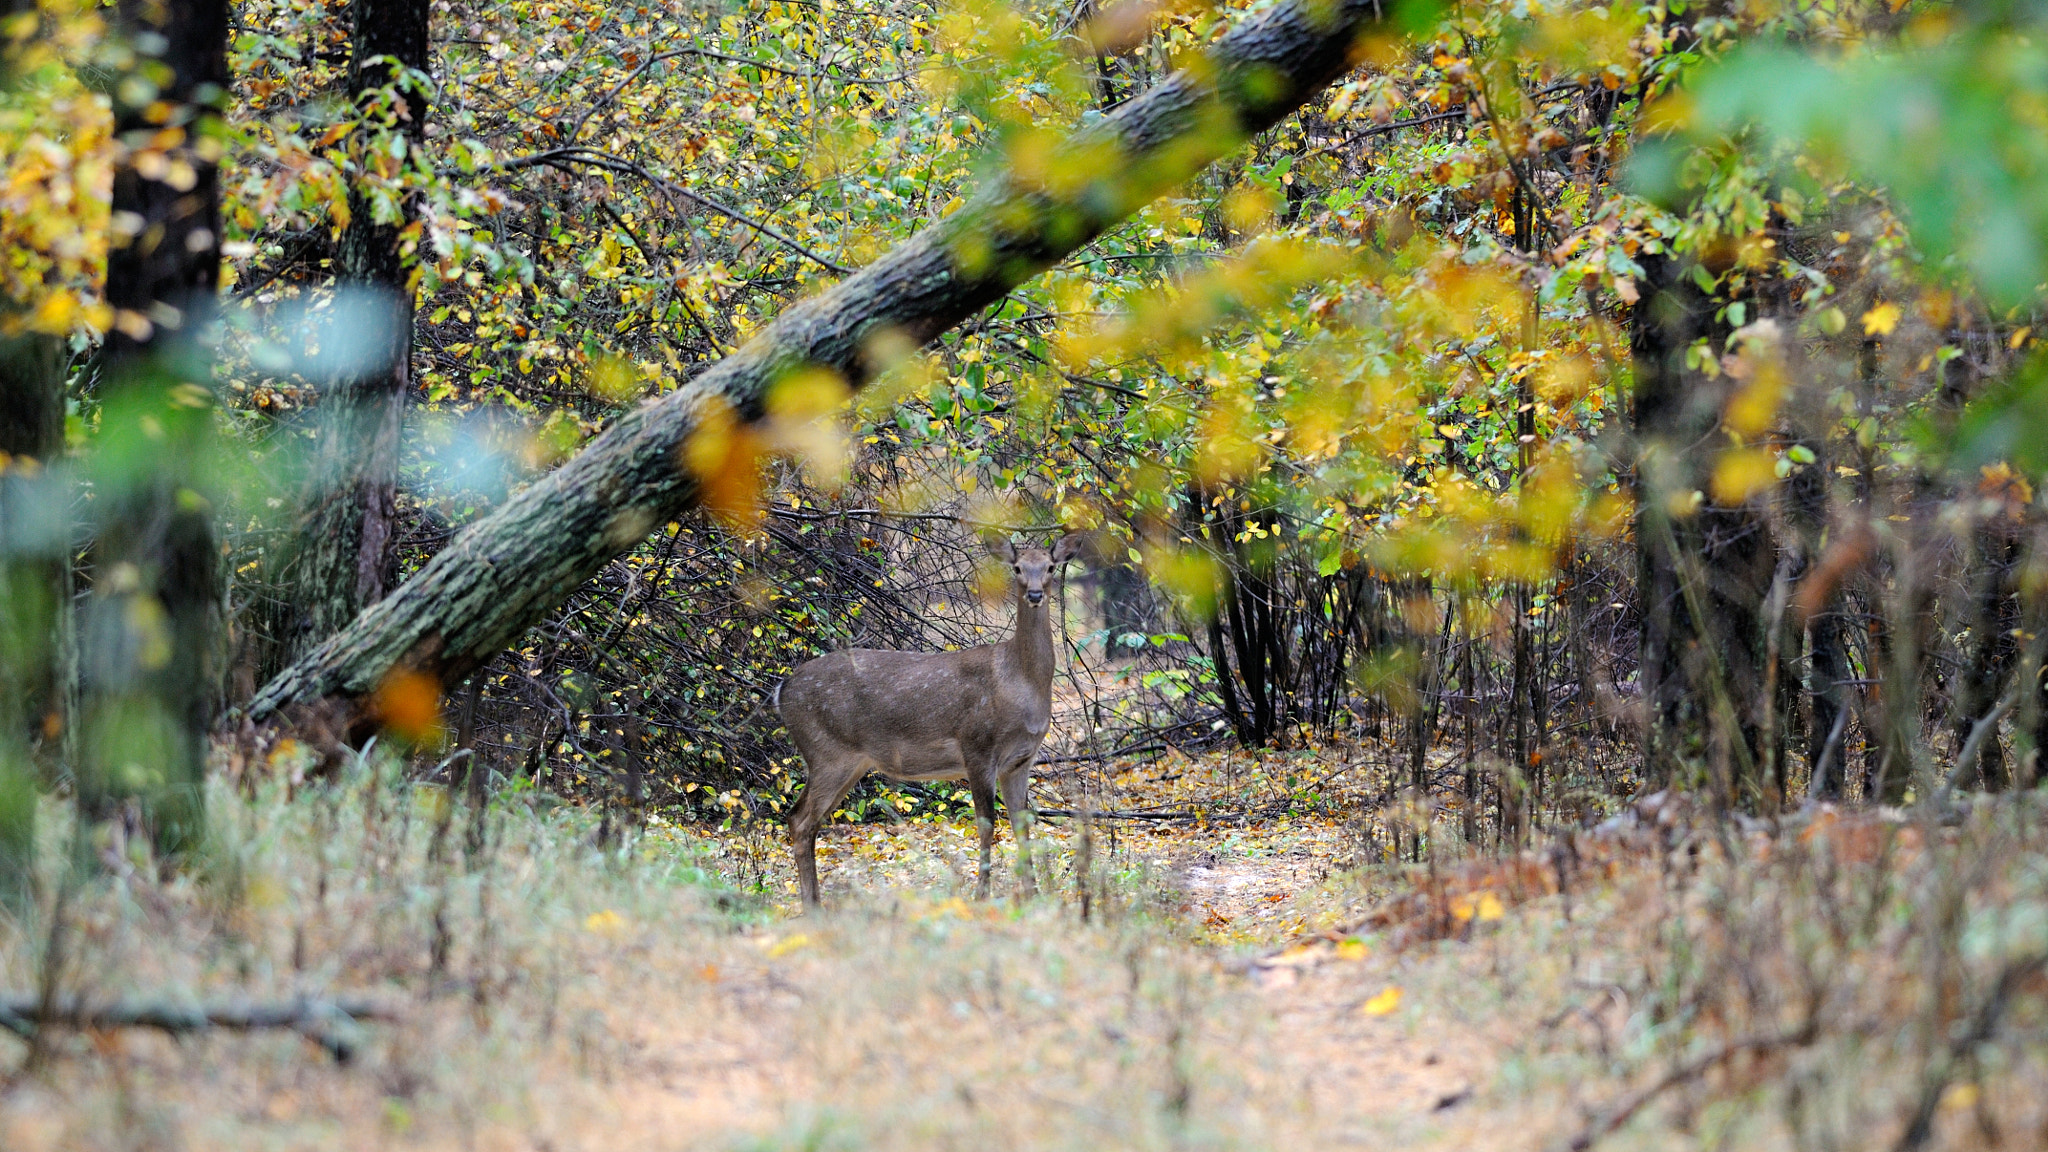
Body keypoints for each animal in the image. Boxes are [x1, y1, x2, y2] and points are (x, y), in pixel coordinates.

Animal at [774, 532, 1081, 901]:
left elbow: (1022, 825)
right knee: (800, 819)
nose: (1035, 594)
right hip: (827, 751)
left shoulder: (1021, 760)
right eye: (1018, 567)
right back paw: (812, 904)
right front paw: (981, 895)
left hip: (847, 761)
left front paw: (1033, 895)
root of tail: (782, 691)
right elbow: (986, 824)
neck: (1020, 683)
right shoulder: (976, 745)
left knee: (807, 820)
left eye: (1049, 567)